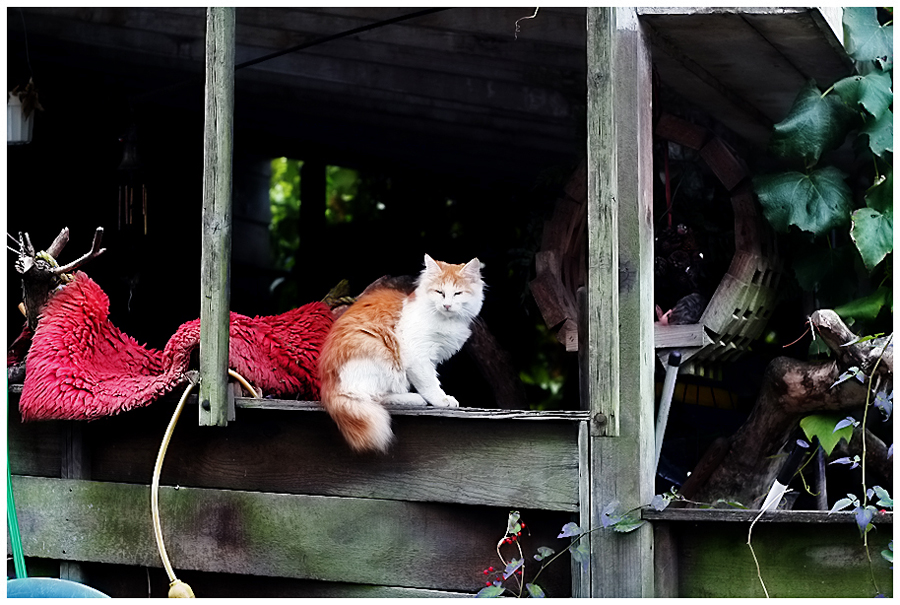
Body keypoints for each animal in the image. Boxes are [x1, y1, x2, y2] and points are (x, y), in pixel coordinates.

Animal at [318, 252, 486, 450]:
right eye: (440, 292)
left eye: (457, 293)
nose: (447, 305)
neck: (446, 321)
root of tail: (327, 386)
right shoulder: (418, 355)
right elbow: (429, 383)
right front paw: (441, 399)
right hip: (381, 358)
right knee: (373, 396)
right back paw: (415, 399)